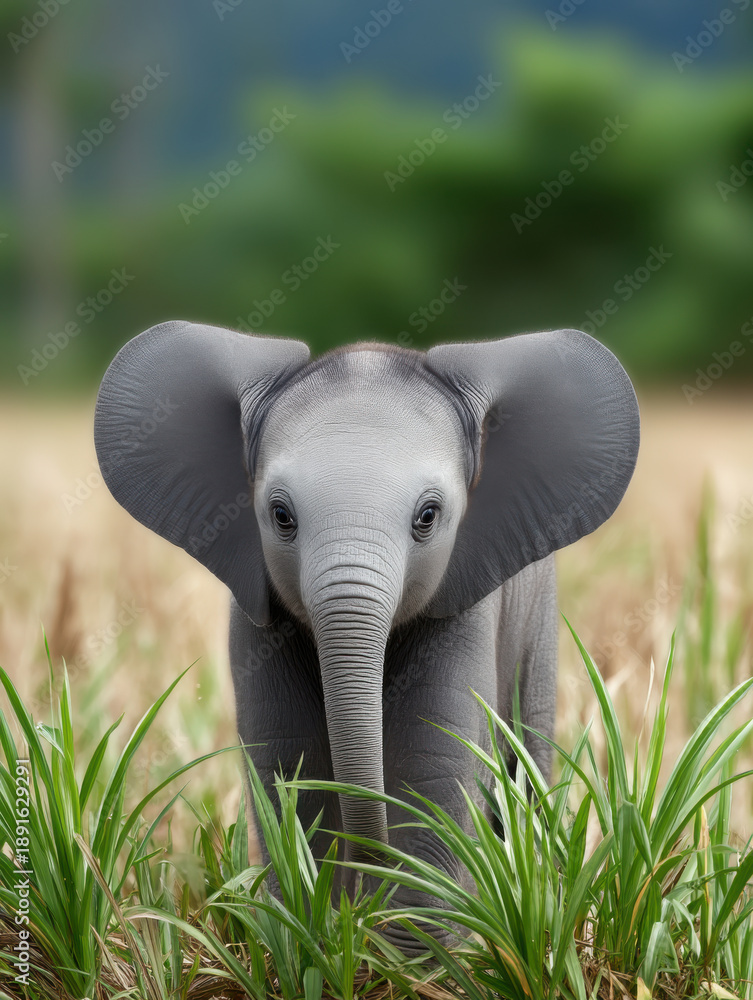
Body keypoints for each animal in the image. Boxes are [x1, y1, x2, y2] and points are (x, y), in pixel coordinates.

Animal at [94, 320, 639, 948]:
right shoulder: (256, 613)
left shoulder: (463, 602)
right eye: (281, 516)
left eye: (428, 517)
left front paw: (411, 954)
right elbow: (289, 755)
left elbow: (431, 754)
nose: (363, 888)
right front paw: (311, 936)